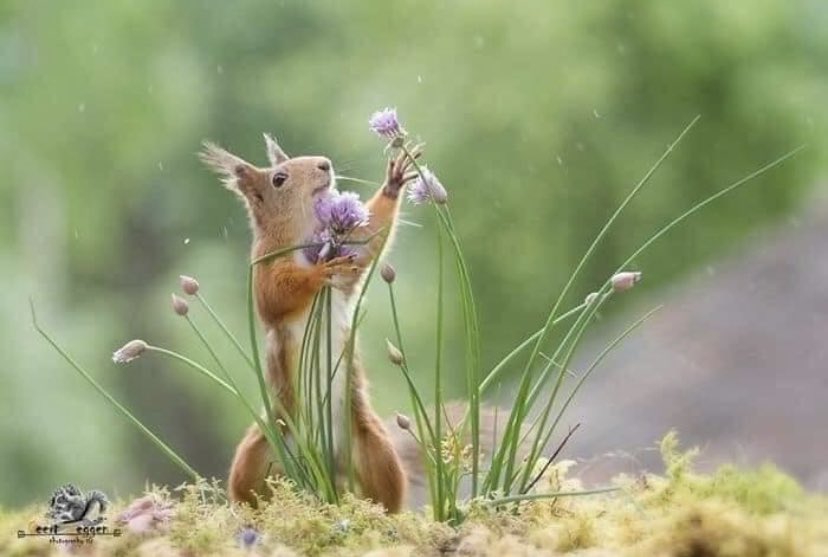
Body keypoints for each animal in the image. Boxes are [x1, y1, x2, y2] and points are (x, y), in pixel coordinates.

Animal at [201, 134, 421, 512]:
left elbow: (371, 237)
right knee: (247, 489)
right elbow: (276, 295)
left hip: (372, 446)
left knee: (383, 491)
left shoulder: (350, 256)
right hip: (261, 451)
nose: (325, 164)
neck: (305, 238)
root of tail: (326, 465)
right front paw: (317, 273)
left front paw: (393, 182)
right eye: (279, 179)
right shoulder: (263, 265)